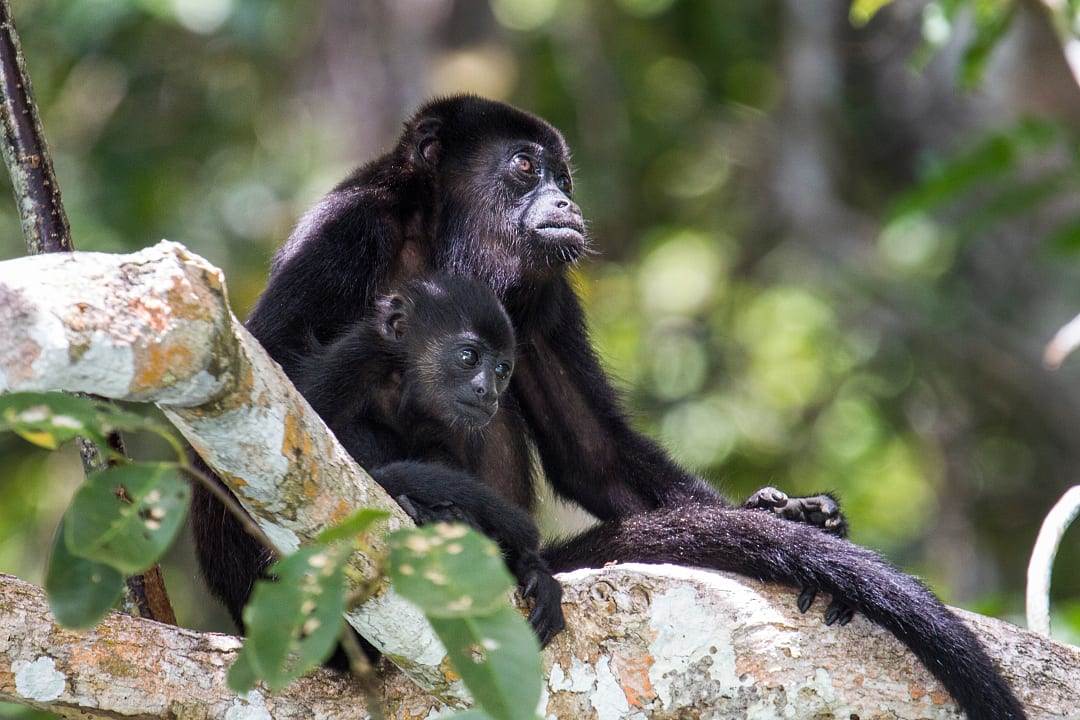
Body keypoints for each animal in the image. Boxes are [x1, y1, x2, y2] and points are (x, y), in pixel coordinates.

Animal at [291, 273, 564, 645]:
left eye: (502, 369)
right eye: (468, 356)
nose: (488, 392)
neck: (411, 389)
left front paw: (532, 570)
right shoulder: (354, 360)